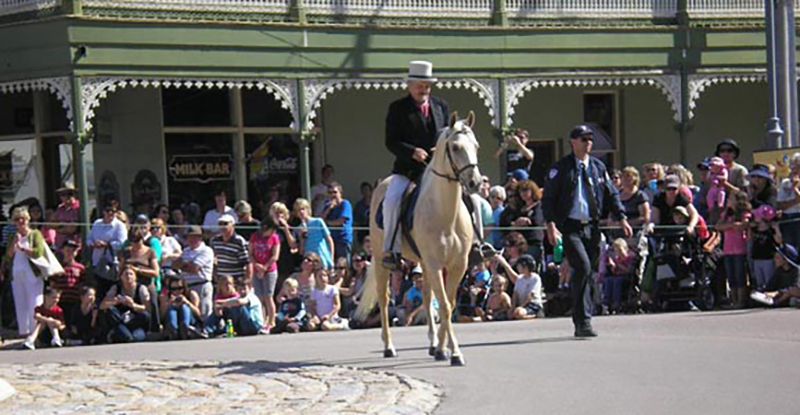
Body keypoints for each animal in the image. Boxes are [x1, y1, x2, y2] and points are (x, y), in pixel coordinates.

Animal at [355, 111, 482, 366]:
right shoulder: (434, 264)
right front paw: (455, 353)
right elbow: (444, 306)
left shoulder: (457, 265)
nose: (474, 183)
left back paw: (433, 345)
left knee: (425, 296)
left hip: (423, 264)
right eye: (455, 147)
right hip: (384, 260)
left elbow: (447, 304)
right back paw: (389, 347)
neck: (445, 213)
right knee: (384, 299)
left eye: (476, 146)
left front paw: (442, 349)